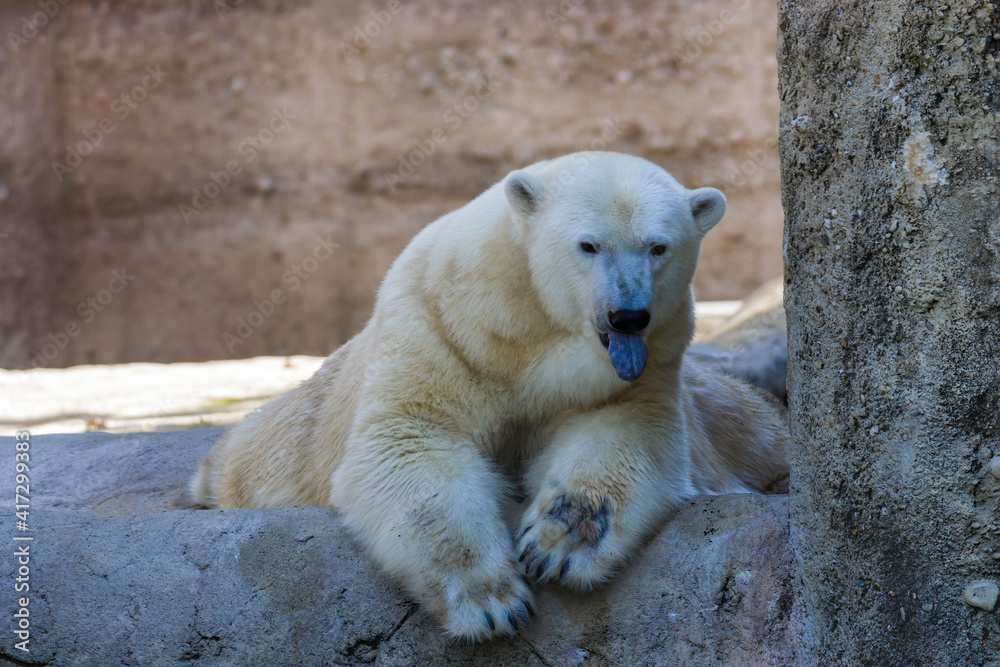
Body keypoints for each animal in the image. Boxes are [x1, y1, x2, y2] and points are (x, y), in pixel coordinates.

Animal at [191, 151, 789, 642]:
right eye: (589, 244)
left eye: (659, 246)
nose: (627, 315)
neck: (529, 330)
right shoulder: (440, 326)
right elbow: (411, 441)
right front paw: (493, 602)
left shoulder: (648, 366)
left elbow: (623, 432)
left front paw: (558, 545)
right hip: (293, 432)